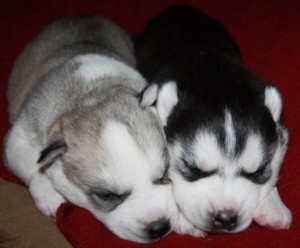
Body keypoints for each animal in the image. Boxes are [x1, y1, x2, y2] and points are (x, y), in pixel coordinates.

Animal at [3, 15, 177, 242]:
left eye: (164, 174)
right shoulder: (20, 134)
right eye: (106, 195)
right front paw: (47, 191)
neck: (93, 94)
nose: (160, 227)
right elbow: (31, 162)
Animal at [135, 5, 292, 236]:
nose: (226, 217)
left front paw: (273, 204)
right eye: (193, 169)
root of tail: (180, 8)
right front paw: (184, 220)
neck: (214, 73)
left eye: (257, 172)